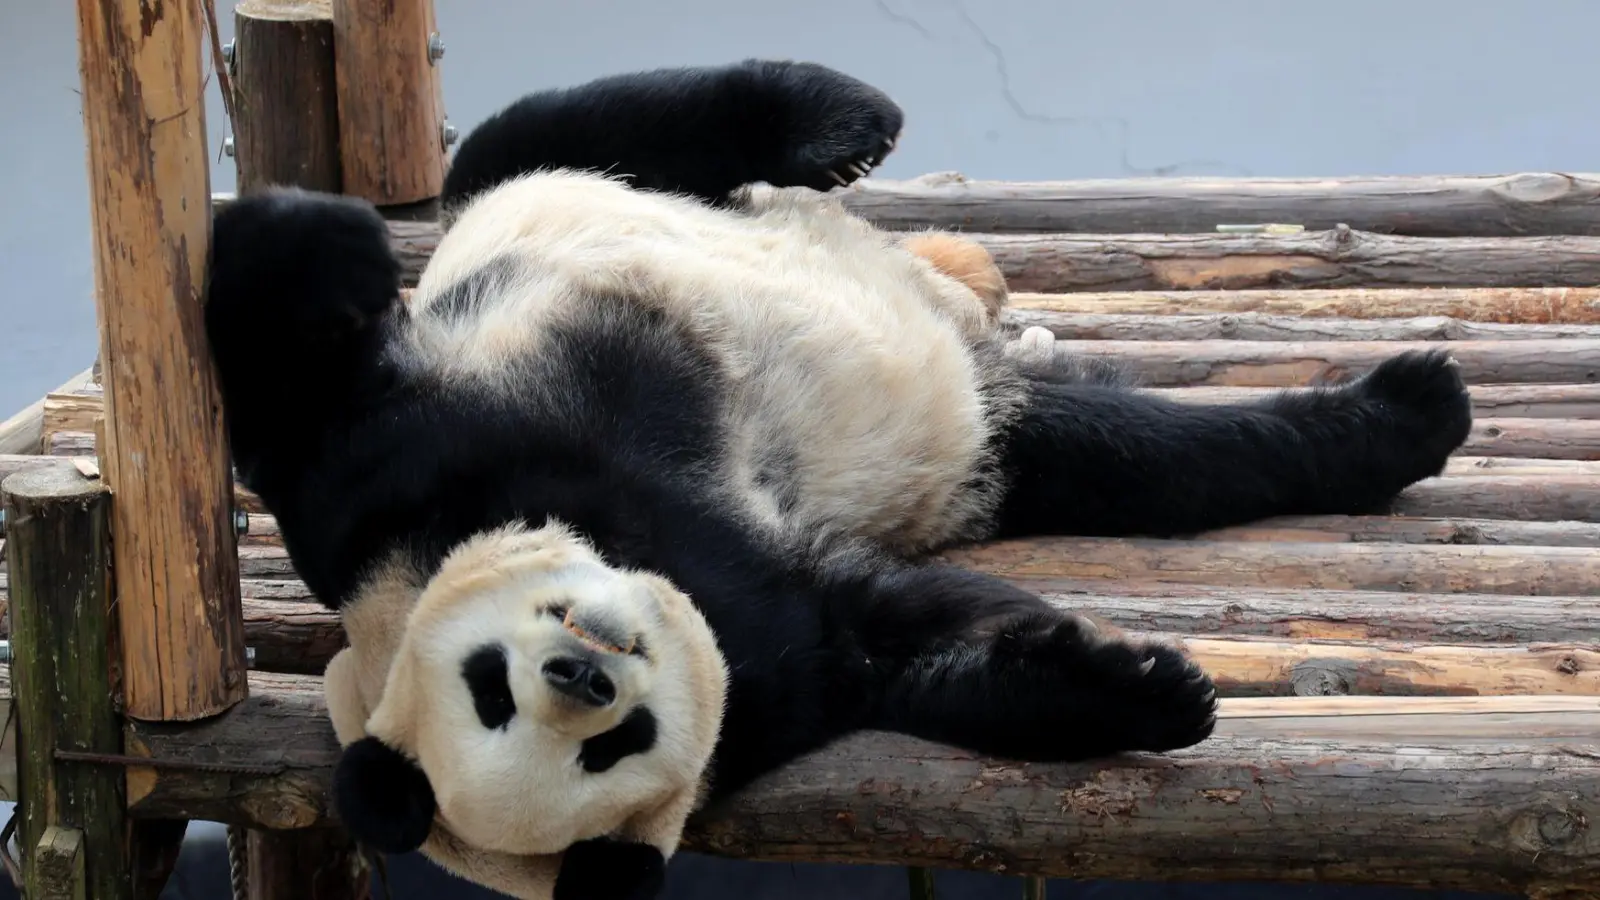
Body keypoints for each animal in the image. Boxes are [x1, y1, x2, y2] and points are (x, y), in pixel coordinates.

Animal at [203, 57, 1472, 896]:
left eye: (487, 684)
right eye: (601, 752)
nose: (587, 668)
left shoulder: (397, 461)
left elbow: (279, 372)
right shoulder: (760, 672)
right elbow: (884, 639)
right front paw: (1125, 685)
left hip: (565, 214)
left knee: (563, 133)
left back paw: (832, 121)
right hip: (993, 454)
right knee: (1141, 456)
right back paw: (1395, 420)